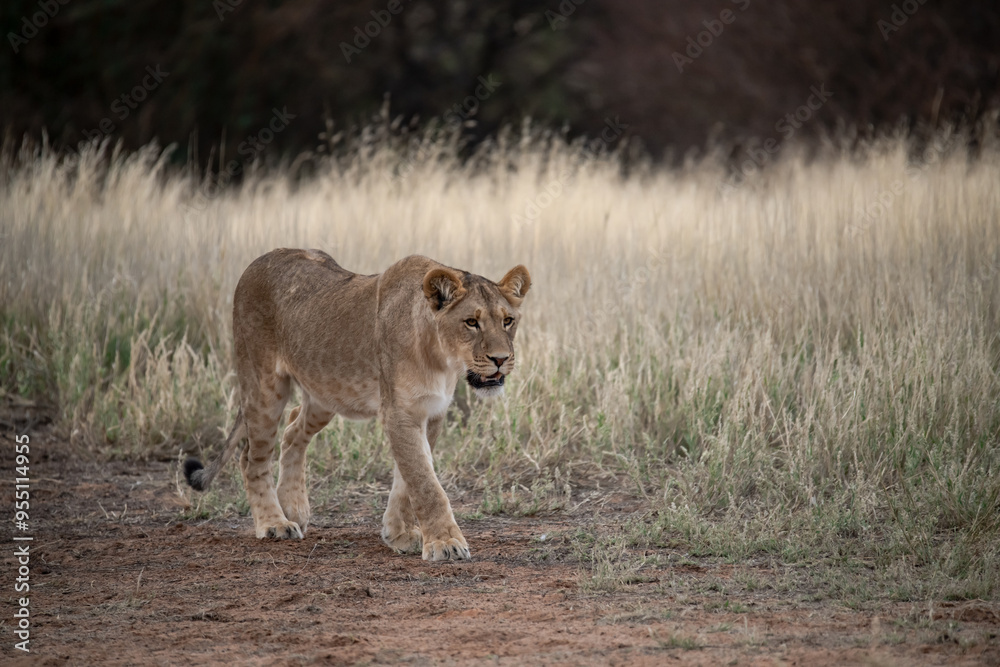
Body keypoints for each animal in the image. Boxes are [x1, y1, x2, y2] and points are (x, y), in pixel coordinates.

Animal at [183, 248, 530, 561]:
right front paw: (445, 543)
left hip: (326, 391)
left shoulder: (430, 412)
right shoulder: (399, 413)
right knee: (251, 458)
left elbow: (408, 479)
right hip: (264, 387)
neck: (441, 359)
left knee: (293, 430)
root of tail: (257, 261)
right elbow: (425, 483)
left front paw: (399, 533)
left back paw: (294, 508)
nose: (501, 359)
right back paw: (274, 523)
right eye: (471, 322)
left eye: (508, 321)